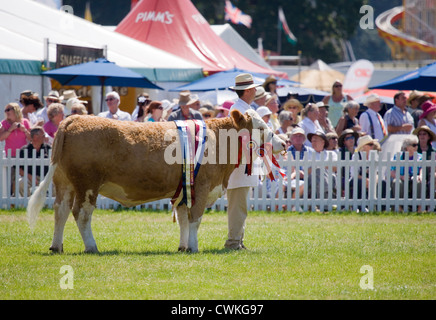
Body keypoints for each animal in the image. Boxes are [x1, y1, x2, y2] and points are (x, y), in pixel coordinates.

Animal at [27, 109, 286, 252]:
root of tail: (73, 119)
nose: (283, 142)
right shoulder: (201, 188)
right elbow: (195, 219)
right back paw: (92, 247)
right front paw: (194, 247)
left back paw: (56, 246)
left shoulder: (184, 189)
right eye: (261, 126)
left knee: (59, 211)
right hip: (87, 184)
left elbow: (183, 219)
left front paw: (183, 246)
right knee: (81, 213)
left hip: (64, 183)